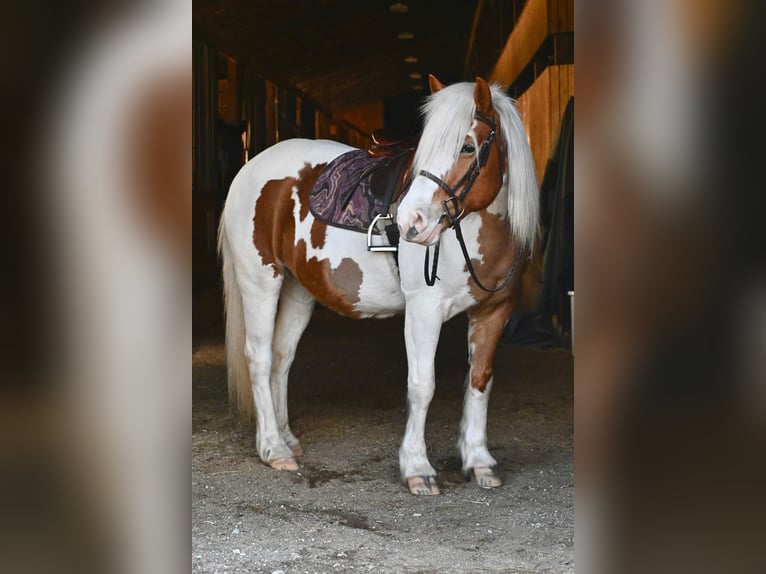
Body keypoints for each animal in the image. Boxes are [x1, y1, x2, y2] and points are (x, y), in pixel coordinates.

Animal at [216, 75, 540, 496]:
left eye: (468, 146)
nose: (408, 222)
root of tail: (249, 168)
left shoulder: (494, 312)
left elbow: (480, 380)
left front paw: (479, 461)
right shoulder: (424, 312)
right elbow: (422, 385)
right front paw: (417, 468)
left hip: (298, 289)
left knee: (282, 356)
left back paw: (286, 438)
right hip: (260, 282)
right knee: (259, 357)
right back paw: (274, 448)